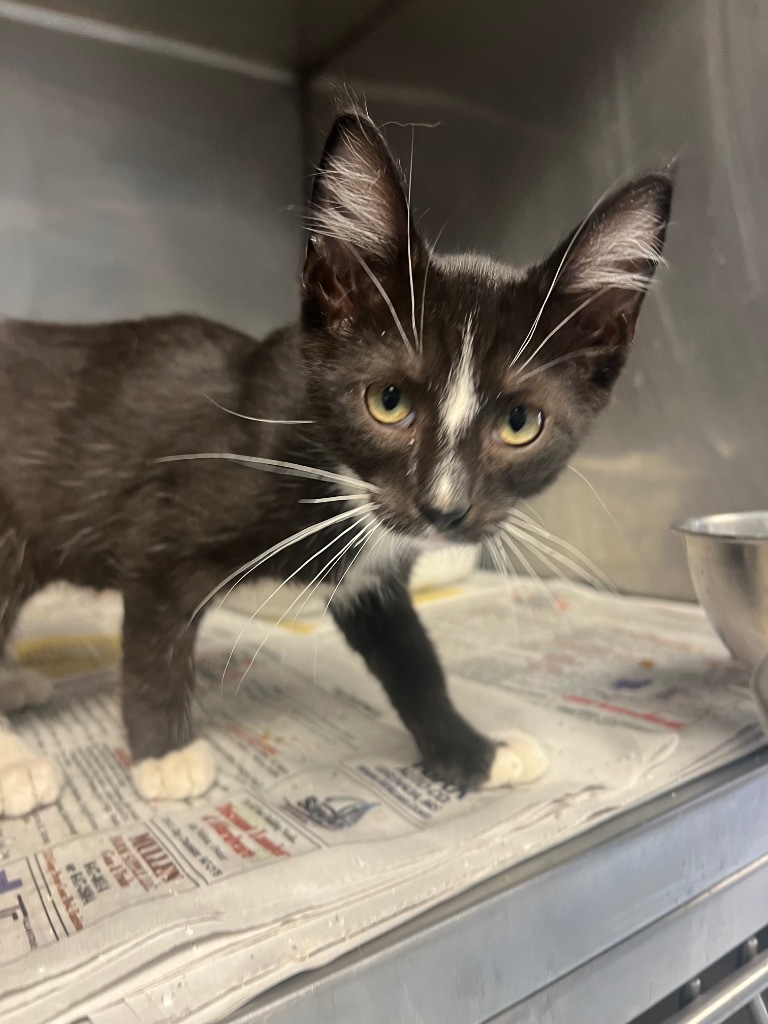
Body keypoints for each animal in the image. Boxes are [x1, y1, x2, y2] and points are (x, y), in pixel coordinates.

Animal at [0, 110, 671, 806]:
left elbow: (414, 662)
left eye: (520, 424)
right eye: (387, 401)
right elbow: (155, 643)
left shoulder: (373, 579)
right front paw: (166, 755)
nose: (443, 508)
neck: (333, 473)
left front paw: (472, 751)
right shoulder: (160, 532)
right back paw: (16, 762)